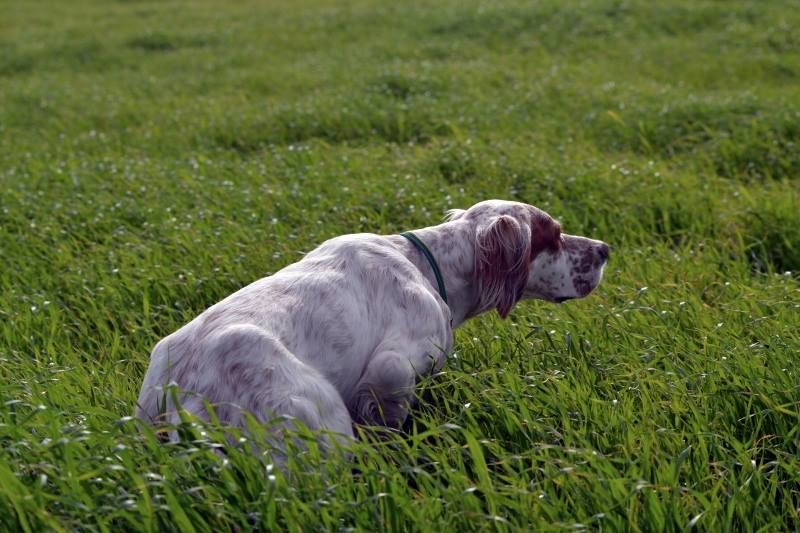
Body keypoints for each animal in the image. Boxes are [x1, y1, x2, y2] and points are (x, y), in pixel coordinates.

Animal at [138, 202, 608, 446]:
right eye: (555, 235)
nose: (605, 249)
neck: (427, 265)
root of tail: (180, 392)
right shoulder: (392, 367)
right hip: (321, 417)